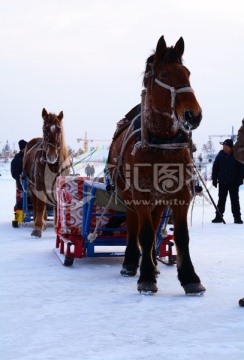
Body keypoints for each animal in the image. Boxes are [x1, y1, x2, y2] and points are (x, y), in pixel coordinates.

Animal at [23, 108, 70, 238]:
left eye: (59, 129)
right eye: (44, 129)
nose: (51, 156)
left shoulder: (58, 186)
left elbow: (57, 206)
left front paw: (58, 227)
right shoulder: (39, 185)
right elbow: (40, 205)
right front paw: (37, 228)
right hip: (31, 185)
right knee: (36, 203)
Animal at [107, 35, 205, 296]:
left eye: (187, 73)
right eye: (164, 73)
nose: (193, 115)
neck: (161, 143)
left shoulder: (180, 193)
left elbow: (181, 236)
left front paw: (190, 278)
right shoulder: (140, 193)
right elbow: (145, 233)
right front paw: (146, 276)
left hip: (159, 199)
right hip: (128, 193)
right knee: (135, 225)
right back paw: (131, 262)